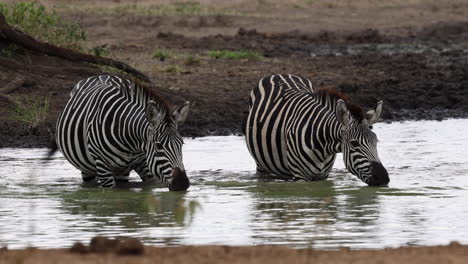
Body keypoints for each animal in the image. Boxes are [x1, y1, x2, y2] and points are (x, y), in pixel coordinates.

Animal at [56, 74, 190, 190]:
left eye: (181, 144)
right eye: (158, 146)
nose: (182, 184)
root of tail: (101, 75)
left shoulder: (146, 163)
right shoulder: (103, 166)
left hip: (122, 172)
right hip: (88, 169)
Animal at [243, 73, 390, 186]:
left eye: (375, 141)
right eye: (354, 143)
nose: (383, 179)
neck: (323, 144)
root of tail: (278, 75)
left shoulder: (323, 176)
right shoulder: (300, 176)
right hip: (261, 165)